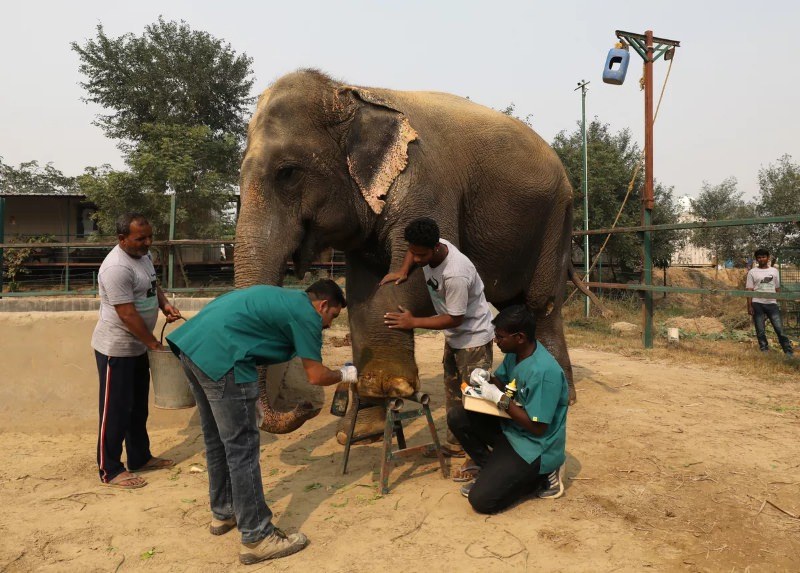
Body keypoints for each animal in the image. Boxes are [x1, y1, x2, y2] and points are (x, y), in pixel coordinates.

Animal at [234, 68, 596, 434]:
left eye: (287, 173)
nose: (306, 407)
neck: (351, 94)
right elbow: (362, 293)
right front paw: (362, 426)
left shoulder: (425, 182)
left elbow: (412, 281)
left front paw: (387, 385)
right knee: (512, 302)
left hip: (557, 218)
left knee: (541, 303)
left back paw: (561, 398)